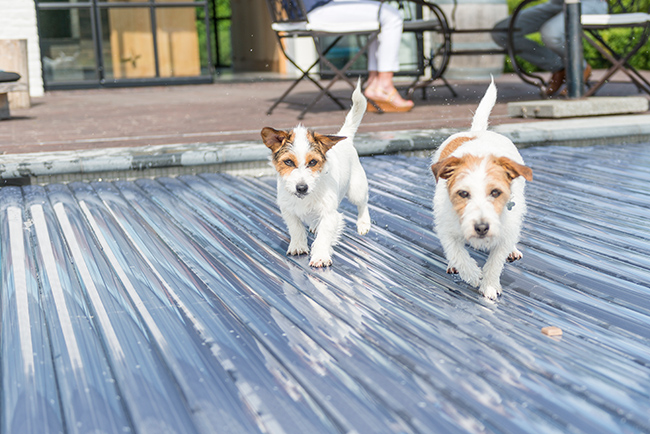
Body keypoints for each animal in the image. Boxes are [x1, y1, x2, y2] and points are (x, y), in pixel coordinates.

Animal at [260, 79, 370, 266]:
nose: (301, 188)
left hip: (357, 189)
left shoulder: (330, 214)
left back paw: (363, 224)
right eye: (288, 162)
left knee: (363, 204)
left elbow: (324, 236)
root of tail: (344, 136)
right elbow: (296, 229)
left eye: (312, 162)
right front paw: (298, 246)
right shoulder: (288, 210)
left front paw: (320, 256)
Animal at [430, 80, 532, 298]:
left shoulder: (505, 230)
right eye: (463, 193)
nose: (482, 228)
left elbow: (496, 260)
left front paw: (490, 285)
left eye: (495, 192)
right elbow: (457, 252)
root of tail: (477, 131)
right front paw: (473, 275)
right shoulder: (446, 228)